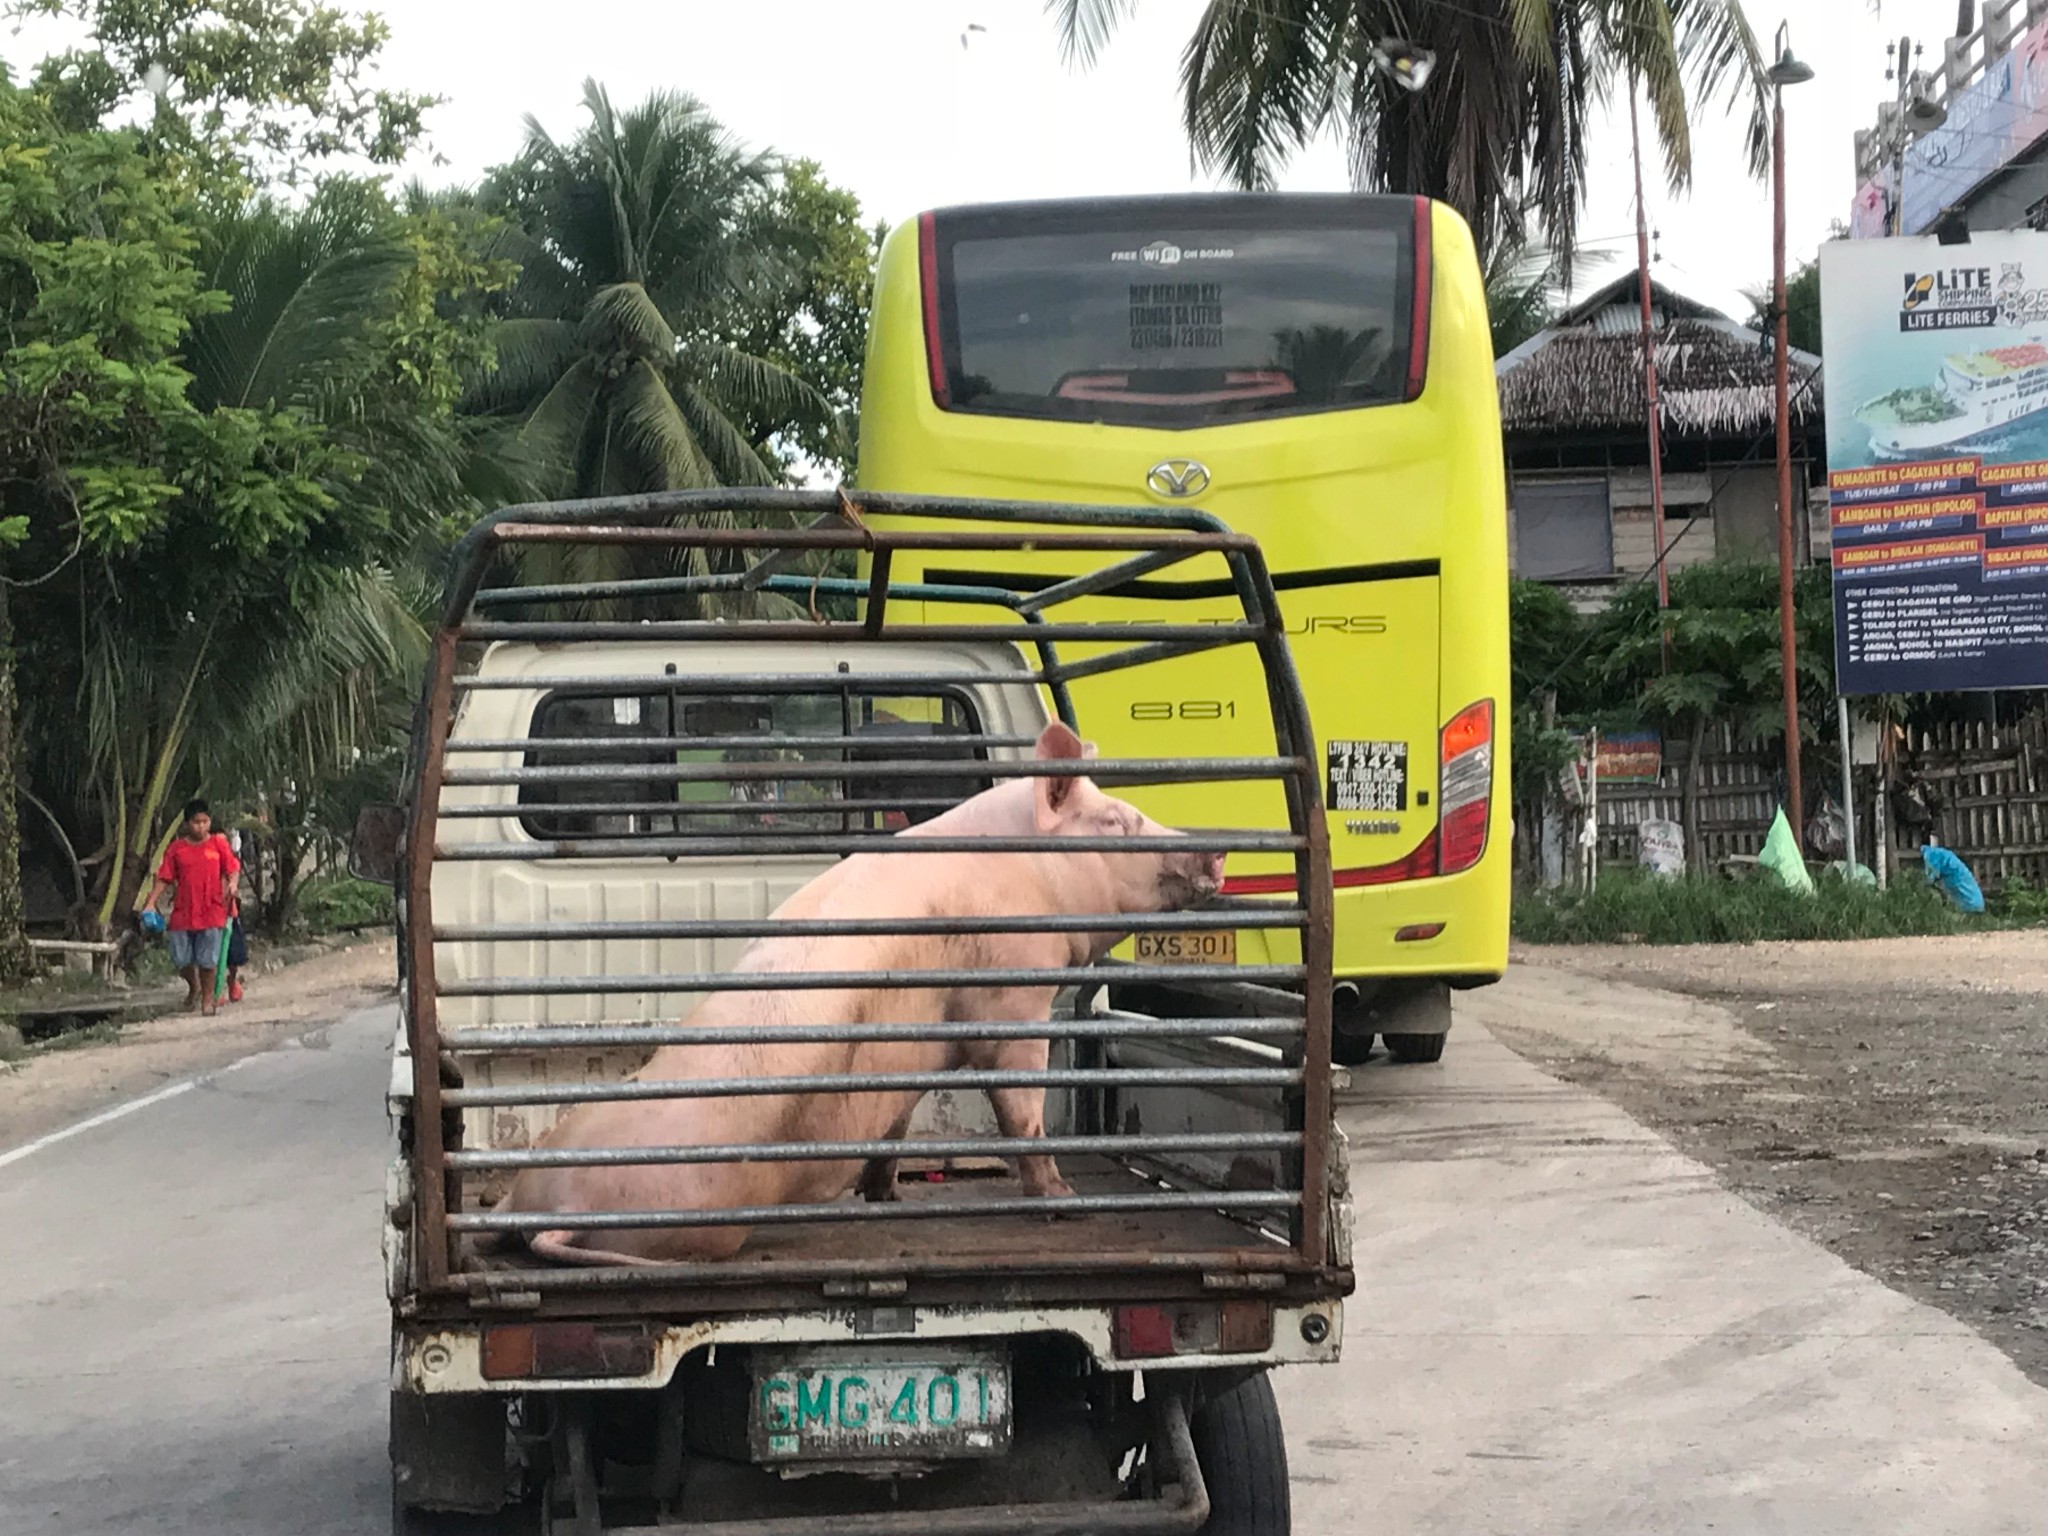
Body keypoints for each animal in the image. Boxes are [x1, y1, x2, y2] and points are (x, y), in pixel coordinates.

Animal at [491, 729, 1228, 1269]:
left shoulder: (913, 1055)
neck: (1026, 873)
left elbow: (895, 1124)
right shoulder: (1010, 996)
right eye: (1116, 820)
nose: (1215, 848)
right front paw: (1065, 1202)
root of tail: (554, 1214)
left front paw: (884, 1196)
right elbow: (1021, 1110)